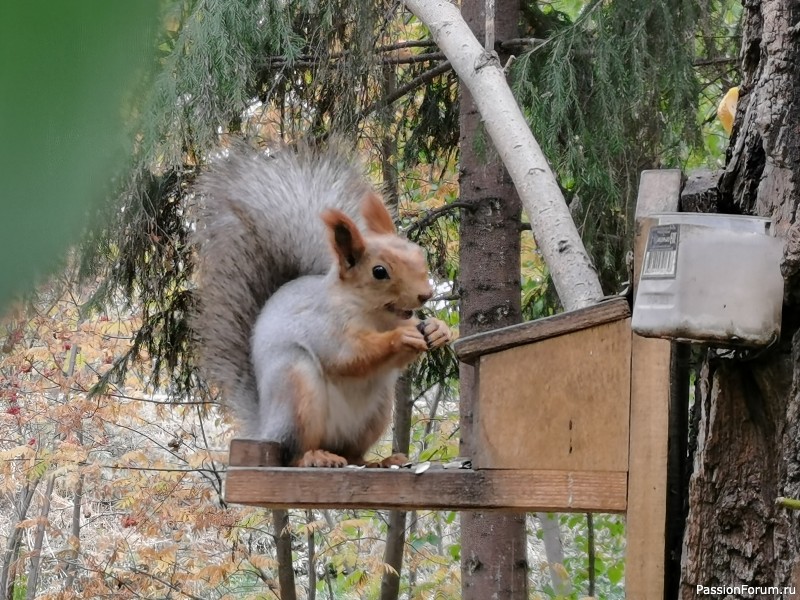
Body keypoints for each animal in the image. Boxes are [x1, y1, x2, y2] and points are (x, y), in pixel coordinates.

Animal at [193, 142, 450, 468]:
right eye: (379, 272)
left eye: (418, 254)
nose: (425, 295)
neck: (375, 315)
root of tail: (266, 426)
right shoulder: (323, 325)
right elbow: (348, 355)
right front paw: (400, 338)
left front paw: (438, 330)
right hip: (297, 389)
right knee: (293, 453)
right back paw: (315, 456)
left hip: (377, 410)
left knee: (353, 454)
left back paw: (379, 461)